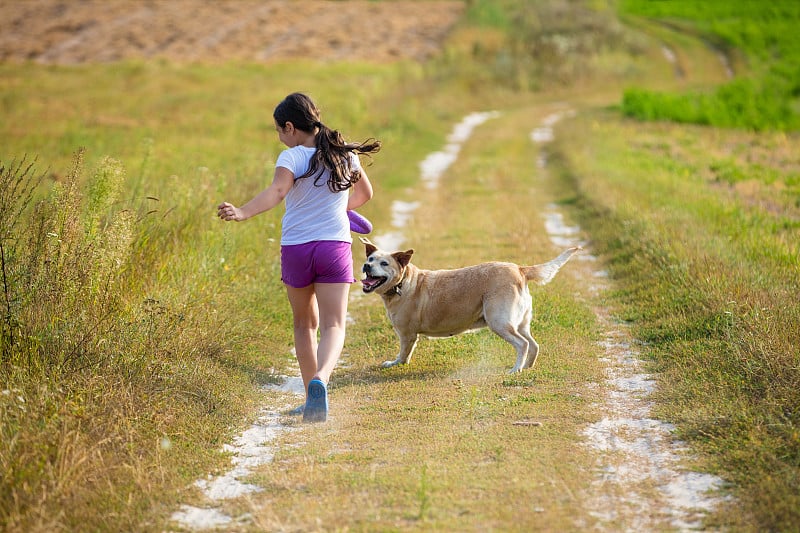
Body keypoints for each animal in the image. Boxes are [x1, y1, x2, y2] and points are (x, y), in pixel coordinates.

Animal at [360, 239, 580, 372]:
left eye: (384, 263)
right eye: (370, 258)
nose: (366, 266)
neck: (402, 282)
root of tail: (520, 269)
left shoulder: (407, 335)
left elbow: (404, 354)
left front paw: (395, 363)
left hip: (499, 322)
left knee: (523, 344)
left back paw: (515, 369)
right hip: (519, 323)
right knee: (534, 345)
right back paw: (526, 367)